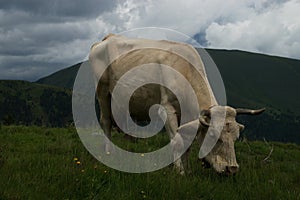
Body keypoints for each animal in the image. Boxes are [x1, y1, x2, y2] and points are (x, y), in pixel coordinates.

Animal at [89, 34, 264, 175]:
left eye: (236, 137)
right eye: (213, 135)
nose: (232, 168)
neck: (185, 70)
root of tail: (109, 37)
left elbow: (187, 142)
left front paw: (188, 170)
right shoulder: (167, 109)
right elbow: (177, 141)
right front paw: (179, 171)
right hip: (102, 91)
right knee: (106, 121)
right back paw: (108, 153)